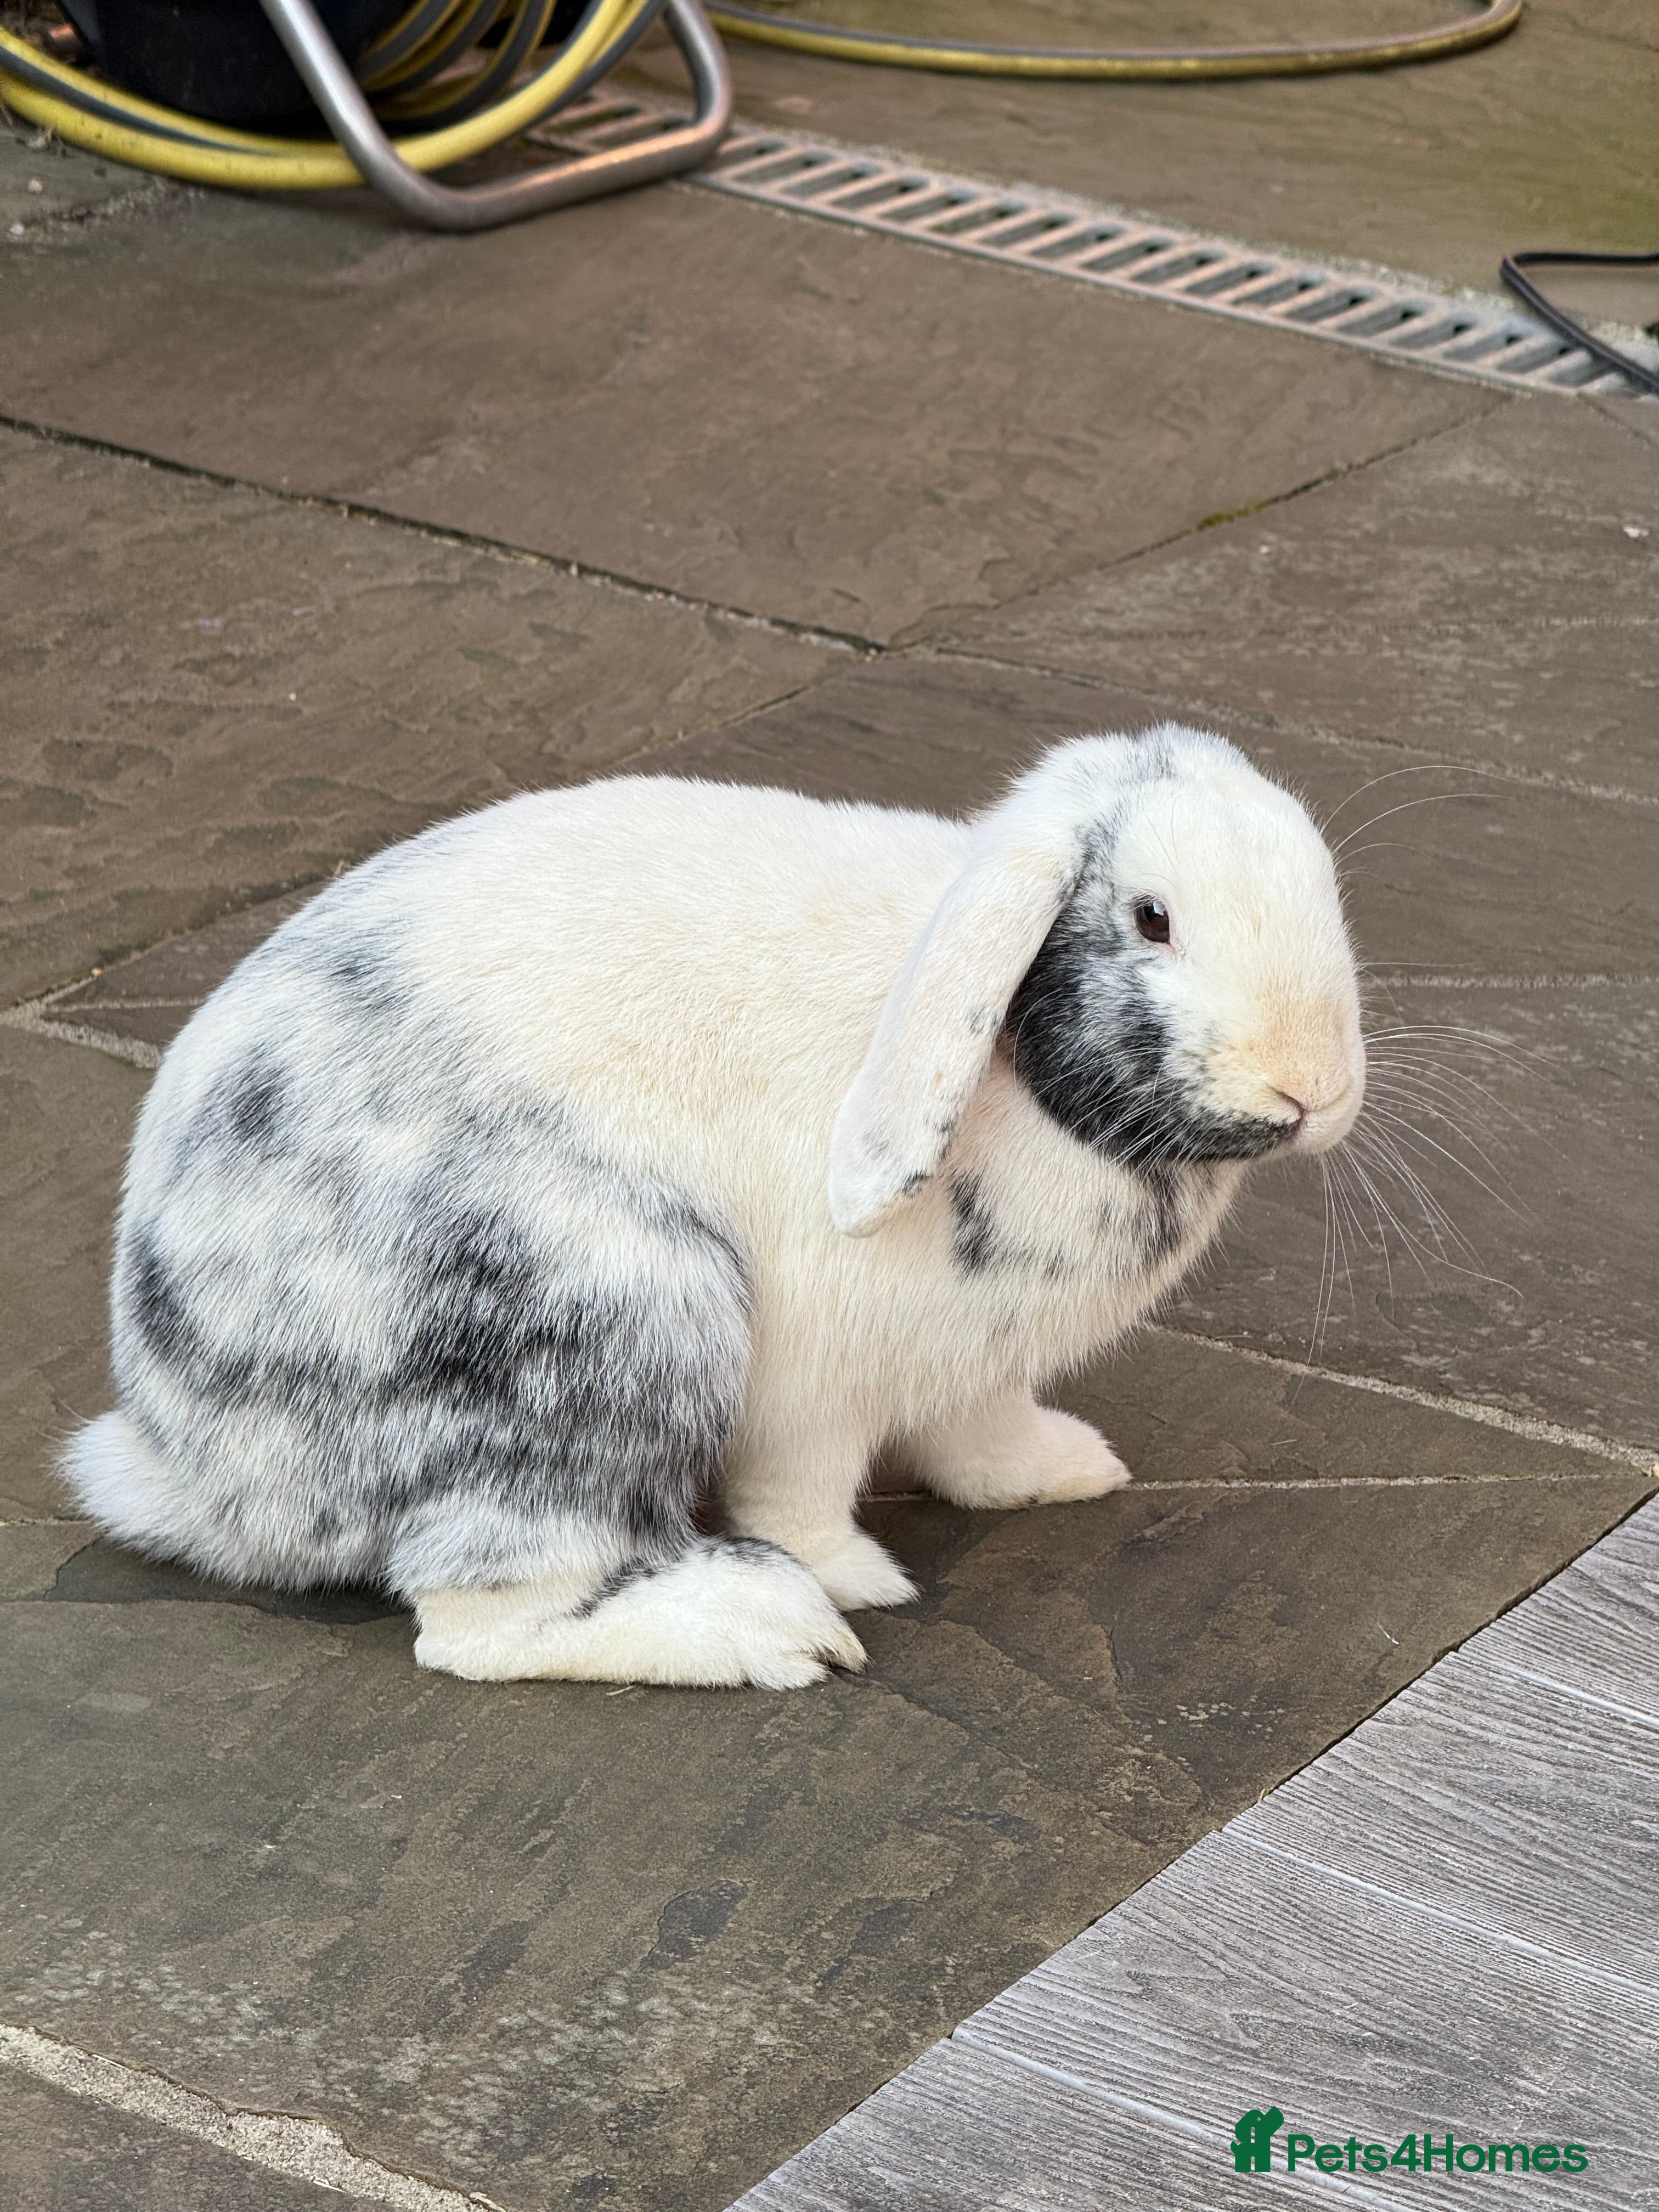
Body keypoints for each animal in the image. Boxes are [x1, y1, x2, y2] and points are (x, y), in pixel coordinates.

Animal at [62, 724, 1364, 1690]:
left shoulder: (975, 1365)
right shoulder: (810, 1392)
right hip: (612, 1318)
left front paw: (1056, 1471)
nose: (1310, 1089)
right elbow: (801, 1496)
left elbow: (976, 1431)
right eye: (1152, 918)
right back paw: (762, 1629)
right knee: (489, 1622)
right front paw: (856, 1578)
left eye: (1325, 887)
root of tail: (197, 1463)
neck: (1013, 1067)